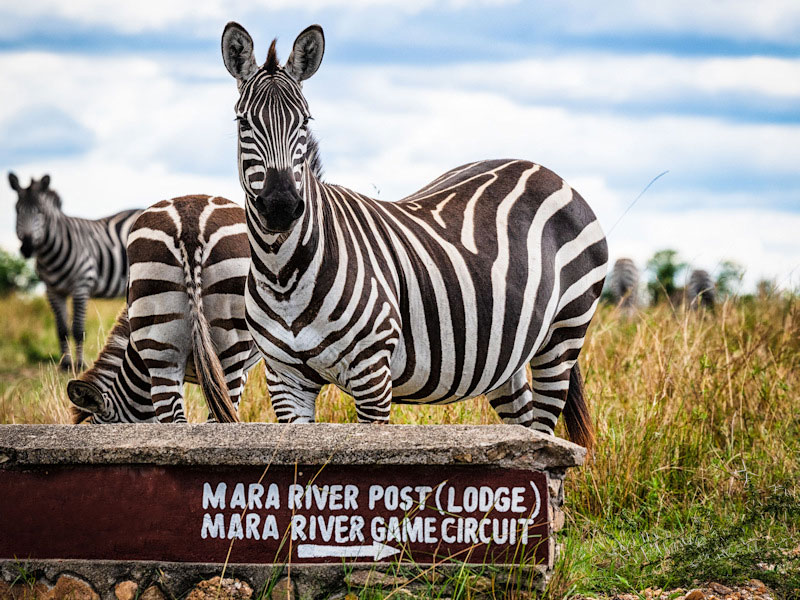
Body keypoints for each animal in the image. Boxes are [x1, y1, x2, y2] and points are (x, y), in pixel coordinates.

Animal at [7, 171, 141, 370]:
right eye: (17, 210)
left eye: (40, 212)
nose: (27, 248)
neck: (50, 255)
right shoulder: (53, 290)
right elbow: (62, 329)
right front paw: (65, 364)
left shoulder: (81, 284)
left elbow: (78, 329)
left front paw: (79, 364)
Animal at [219, 23, 608, 446]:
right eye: (242, 123)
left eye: (305, 122)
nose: (280, 206)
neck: (283, 272)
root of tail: (547, 172)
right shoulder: (285, 379)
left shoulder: (372, 372)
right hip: (509, 355)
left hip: (563, 337)